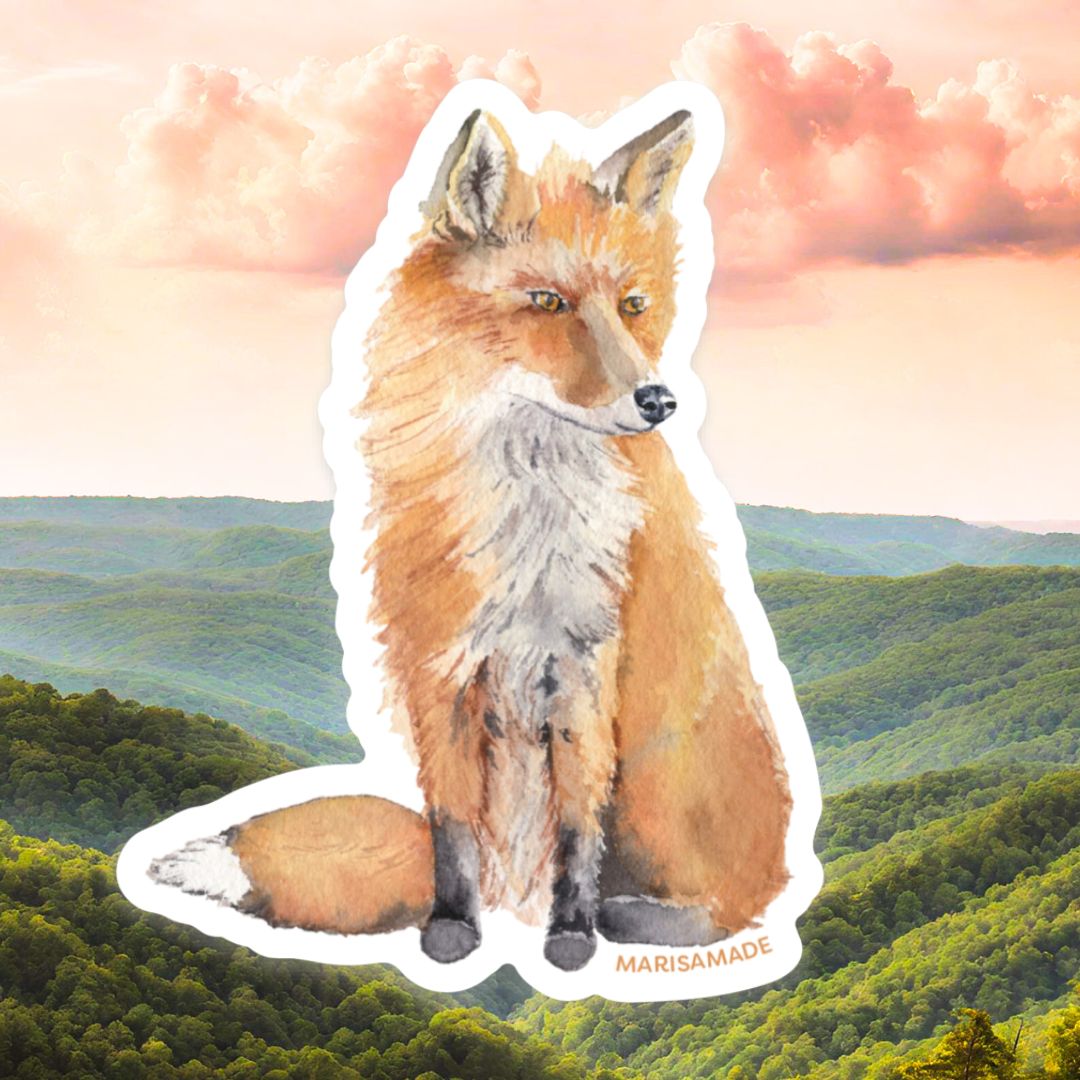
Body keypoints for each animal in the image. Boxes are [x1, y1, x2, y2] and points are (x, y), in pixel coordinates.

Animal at [148, 102, 794, 975]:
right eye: (547, 302)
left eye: (632, 305)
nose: (658, 400)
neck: (529, 519)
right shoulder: (439, 668)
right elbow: (449, 825)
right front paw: (451, 931)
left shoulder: (585, 670)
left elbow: (577, 829)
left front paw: (571, 937)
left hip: (677, 796)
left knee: (722, 904)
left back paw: (635, 918)